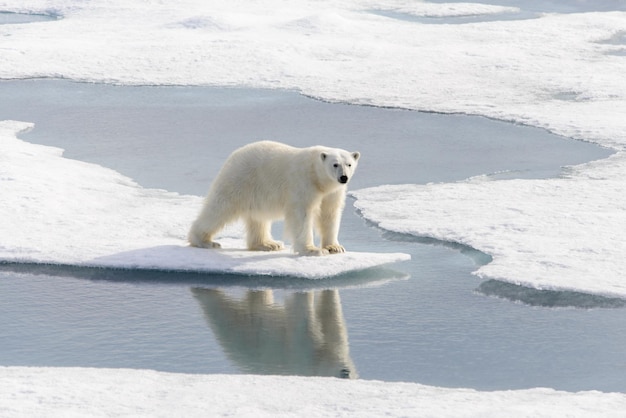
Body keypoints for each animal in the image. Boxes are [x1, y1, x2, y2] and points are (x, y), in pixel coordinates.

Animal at [188, 142, 358, 256]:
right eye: (335, 164)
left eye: (349, 164)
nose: (343, 177)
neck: (317, 176)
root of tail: (234, 155)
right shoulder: (303, 182)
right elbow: (302, 215)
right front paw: (313, 250)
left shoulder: (332, 192)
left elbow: (329, 214)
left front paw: (335, 247)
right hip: (240, 180)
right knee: (220, 209)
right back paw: (205, 241)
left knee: (258, 218)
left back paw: (268, 244)